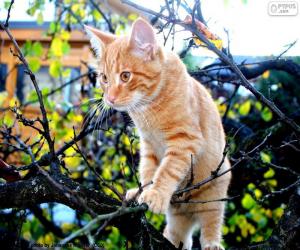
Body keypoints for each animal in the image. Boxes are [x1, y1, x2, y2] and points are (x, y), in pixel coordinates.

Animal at [85, 18, 231, 250]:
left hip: (214, 191)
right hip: (179, 218)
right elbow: (148, 170)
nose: (110, 98)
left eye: (125, 76)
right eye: (104, 78)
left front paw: (156, 193)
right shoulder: (149, 145)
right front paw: (141, 191)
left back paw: (212, 243)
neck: (149, 105)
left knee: (212, 220)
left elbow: (167, 170)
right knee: (179, 235)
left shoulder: (185, 140)